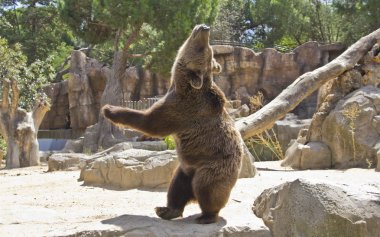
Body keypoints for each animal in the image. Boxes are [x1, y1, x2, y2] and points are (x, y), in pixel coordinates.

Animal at [101, 24, 243, 224]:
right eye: (208, 50)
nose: (205, 27)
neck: (180, 83)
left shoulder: (182, 109)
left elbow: (151, 122)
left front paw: (109, 109)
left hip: (212, 166)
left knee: (206, 188)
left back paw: (206, 216)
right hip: (185, 168)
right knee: (176, 188)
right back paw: (167, 210)